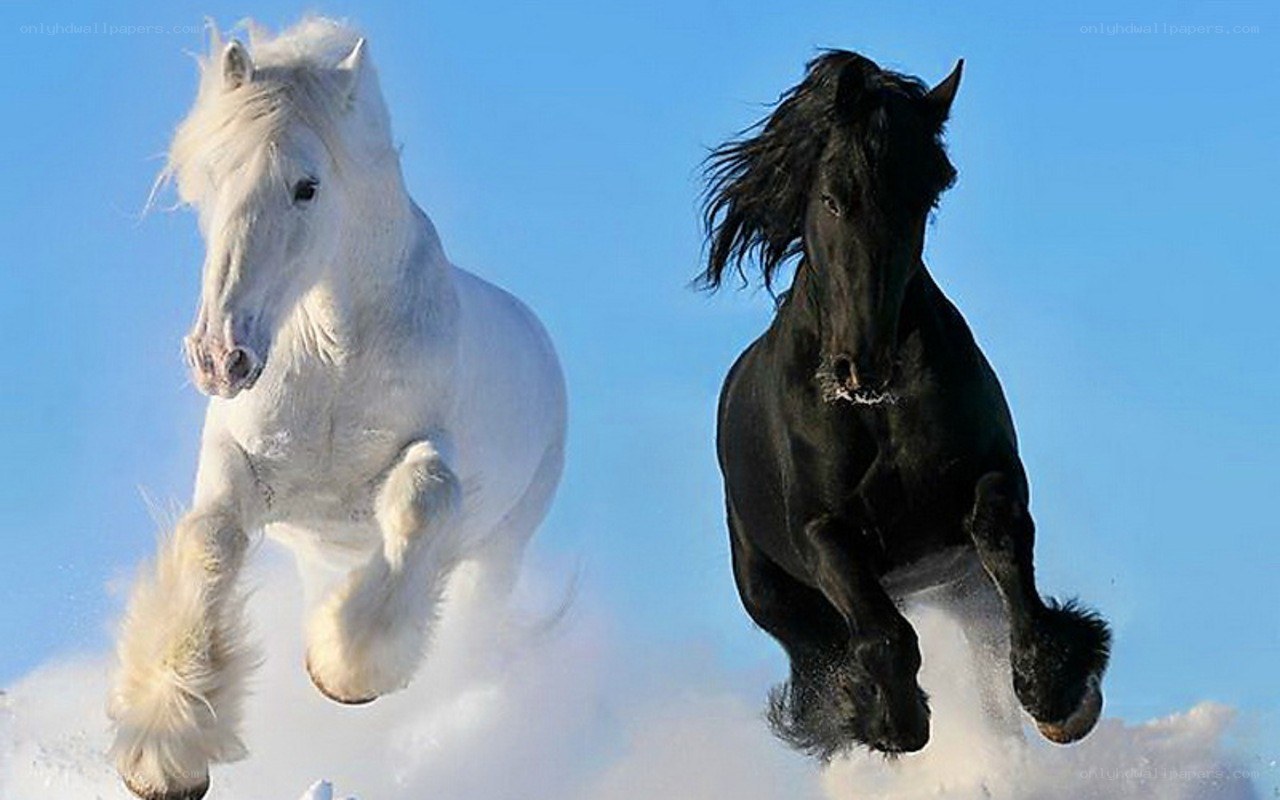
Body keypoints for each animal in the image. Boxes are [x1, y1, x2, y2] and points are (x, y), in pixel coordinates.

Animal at [108, 19, 566, 800]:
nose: (220, 356)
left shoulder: (429, 454)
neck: (332, 357)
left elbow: (422, 498)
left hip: (500, 551)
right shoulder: (239, 470)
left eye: (306, 186)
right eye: (210, 178)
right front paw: (167, 753)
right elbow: (211, 544)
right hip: (317, 555)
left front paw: (344, 671)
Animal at [701, 51, 1111, 759]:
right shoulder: (822, 532)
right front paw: (890, 718)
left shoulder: (991, 476)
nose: (863, 366)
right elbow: (882, 634)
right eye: (833, 197)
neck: (875, 412)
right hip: (772, 593)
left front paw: (1058, 693)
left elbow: (1004, 545)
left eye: (923, 198)